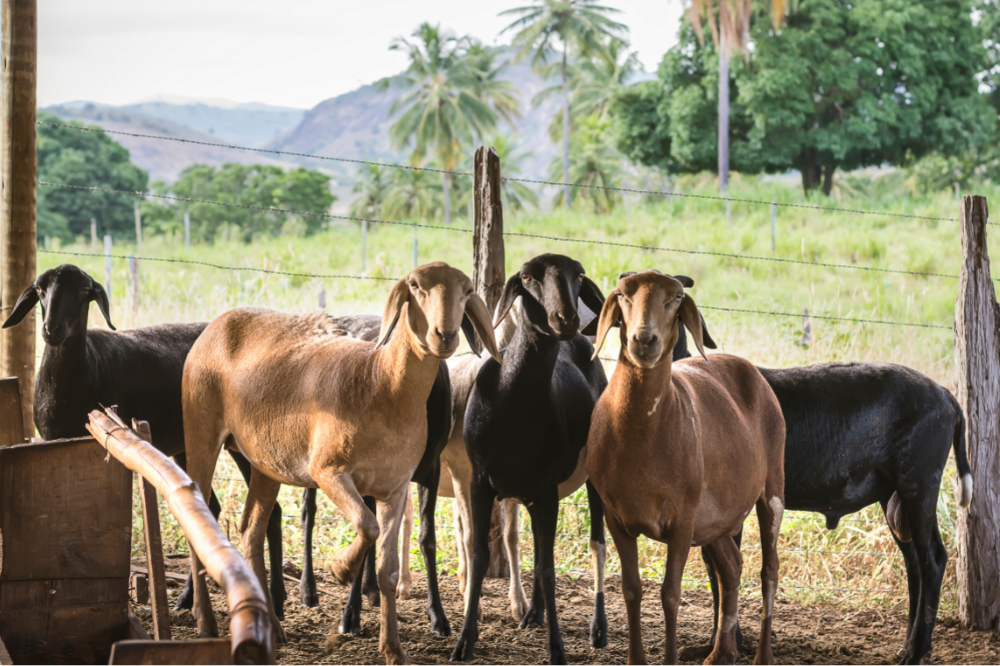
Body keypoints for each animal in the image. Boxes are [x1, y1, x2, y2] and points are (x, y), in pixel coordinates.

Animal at [584, 268, 784, 660]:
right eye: (624, 294)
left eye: (676, 297)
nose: (644, 340)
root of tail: (746, 367)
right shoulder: (616, 517)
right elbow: (632, 590)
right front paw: (635, 659)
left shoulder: (681, 518)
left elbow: (670, 595)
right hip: (715, 517)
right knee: (731, 567)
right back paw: (721, 654)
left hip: (772, 491)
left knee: (769, 571)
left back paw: (762, 656)